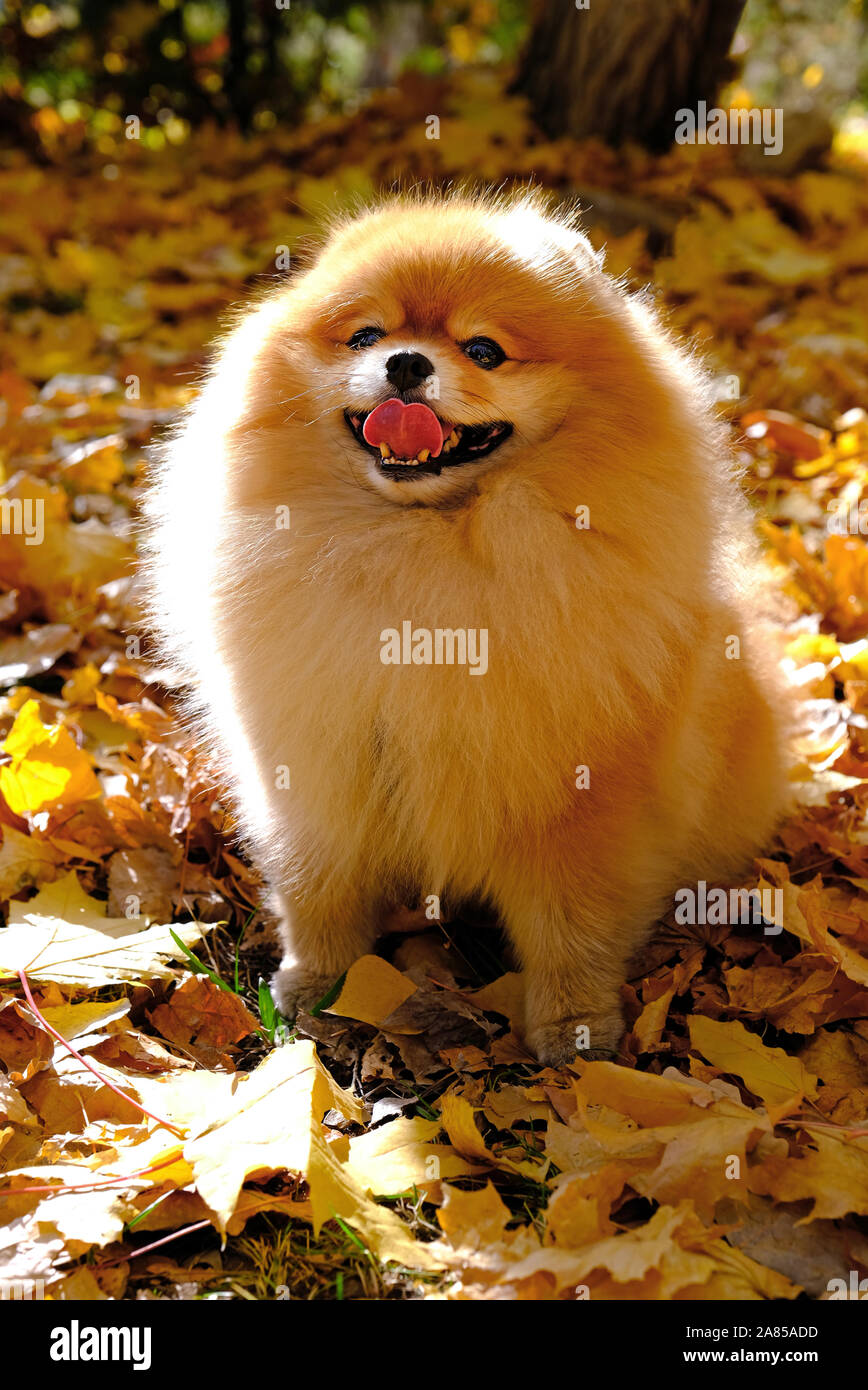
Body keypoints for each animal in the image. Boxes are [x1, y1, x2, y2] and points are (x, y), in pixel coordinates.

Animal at [143, 190, 795, 1061]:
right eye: (365, 336)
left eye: (485, 350)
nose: (406, 365)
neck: (426, 547)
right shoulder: (316, 767)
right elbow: (320, 885)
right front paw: (318, 981)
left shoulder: (586, 799)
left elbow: (573, 925)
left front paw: (573, 1027)